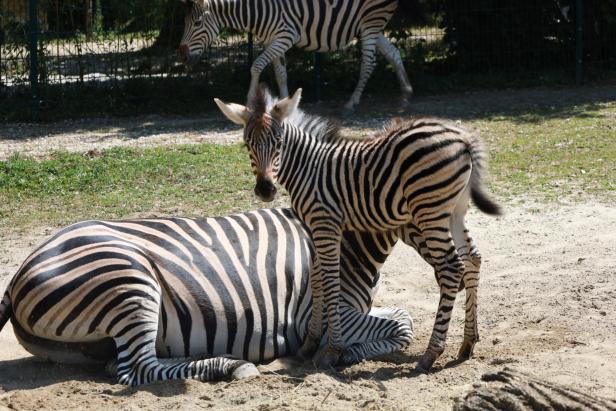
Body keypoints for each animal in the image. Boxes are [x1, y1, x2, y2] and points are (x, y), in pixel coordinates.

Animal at [0, 209, 416, 386]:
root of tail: (18, 273)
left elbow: (403, 318)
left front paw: (347, 353)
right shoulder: (317, 316)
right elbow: (403, 325)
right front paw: (341, 355)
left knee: (118, 365)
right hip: (130, 280)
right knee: (138, 370)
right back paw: (230, 366)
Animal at [176, 0, 412, 112]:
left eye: (197, 23)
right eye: (185, 23)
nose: (184, 58)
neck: (255, 12)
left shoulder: (286, 35)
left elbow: (256, 65)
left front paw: (250, 101)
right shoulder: (273, 40)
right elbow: (280, 74)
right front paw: (285, 103)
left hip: (371, 22)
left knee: (369, 63)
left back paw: (351, 103)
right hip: (369, 27)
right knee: (393, 53)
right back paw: (406, 92)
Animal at [214, 86, 502, 374]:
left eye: (279, 143)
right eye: (247, 145)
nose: (265, 190)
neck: (307, 168)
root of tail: (463, 138)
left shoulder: (325, 222)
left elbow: (331, 280)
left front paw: (332, 351)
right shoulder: (314, 226)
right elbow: (317, 278)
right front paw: (309, 343)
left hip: (429, 210)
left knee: (452, 267)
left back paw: (431, 354)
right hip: (454, 210)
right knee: (472, 257)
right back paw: (468, 342)